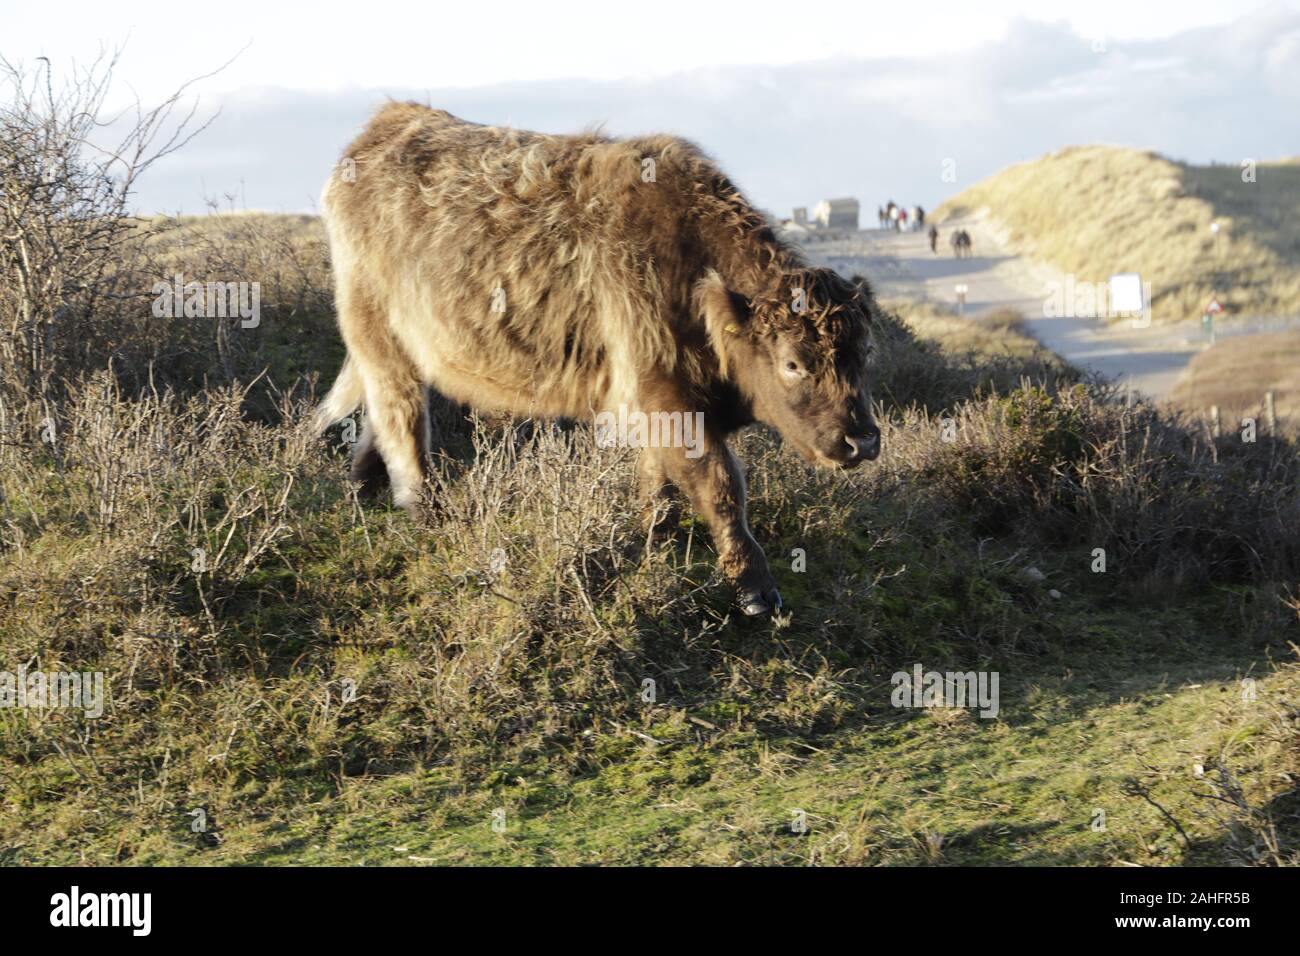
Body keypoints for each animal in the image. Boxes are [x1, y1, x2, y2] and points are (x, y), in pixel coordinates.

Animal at [317, 102, 883, 613]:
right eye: (792, 363)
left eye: (863, 354)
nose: (862, 440)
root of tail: (392, 119)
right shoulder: (666, 396)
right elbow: (720, 484)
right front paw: (755, 589)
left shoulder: (656, 400)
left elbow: (660, 481)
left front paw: (655, 537)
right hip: (380, 334)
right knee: (400, 417)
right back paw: (425, 509)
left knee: (376, 414)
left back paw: (363, 488)